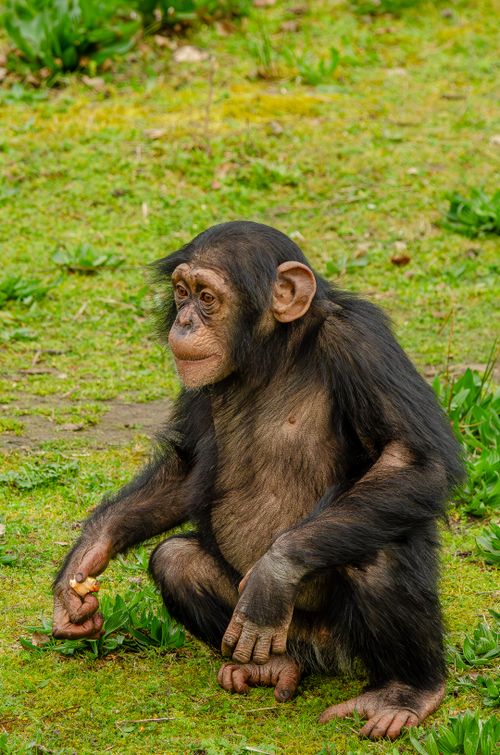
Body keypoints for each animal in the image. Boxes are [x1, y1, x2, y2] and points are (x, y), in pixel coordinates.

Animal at [52, 221, 464, 740]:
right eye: (181, 291)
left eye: (207, 297)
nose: (184, 321)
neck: (272, 354)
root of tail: (321, 649)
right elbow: (187, 469)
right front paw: (83, 563)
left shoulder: (362, 343)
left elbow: (412, 459)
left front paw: (273, 574)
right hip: (282, 639)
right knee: (175, 560)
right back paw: (271, 668)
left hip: (340, 637)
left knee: (379, 554)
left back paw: (405, 693)